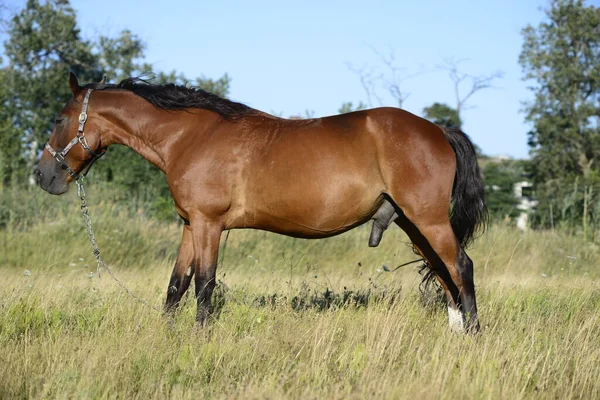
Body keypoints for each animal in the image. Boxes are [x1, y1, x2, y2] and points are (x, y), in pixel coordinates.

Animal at [36, 73, 488, 332]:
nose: (42, 175)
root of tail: (437, 130)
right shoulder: (190, 224)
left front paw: (199, 340)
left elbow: (203, 285)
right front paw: (165, 337)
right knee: (443, 272)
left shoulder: (209, 224)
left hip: (427, 220)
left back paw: (474, 335)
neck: (189, 137)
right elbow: (176, 285)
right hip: (413, 223)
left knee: (461, 267)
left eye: (59, 119)